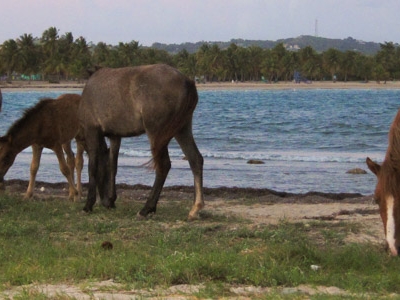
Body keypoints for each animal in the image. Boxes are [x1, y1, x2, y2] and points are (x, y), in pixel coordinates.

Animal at [79, 63, 203, 219]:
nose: (105, 202)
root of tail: (187, 81)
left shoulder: (92, 131)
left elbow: (93, 167)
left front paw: (88, 205)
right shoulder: (115, 136)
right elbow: (112, 165)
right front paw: (111, 199)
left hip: (157, 134)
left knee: (163, 166)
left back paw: (147, 208)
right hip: (182, 129)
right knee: (195, 160)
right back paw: (195, 208)